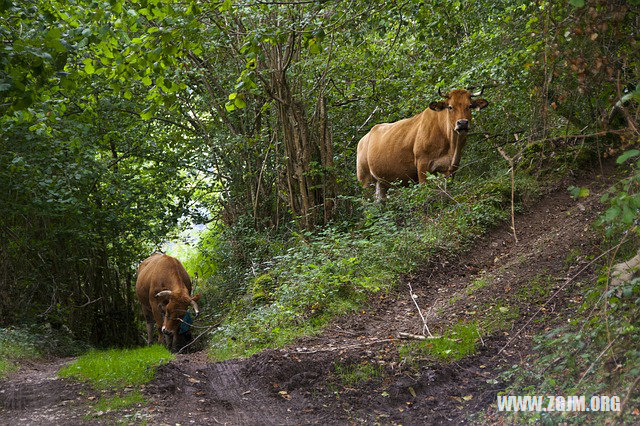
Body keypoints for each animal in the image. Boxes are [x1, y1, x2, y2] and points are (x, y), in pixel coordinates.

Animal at [358, 87, 488, 201]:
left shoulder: (451, 168)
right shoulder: (422, 164)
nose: (462, 123)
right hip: (365, 181)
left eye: (470, 106)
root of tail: (364, 138)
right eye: (450, 107)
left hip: (381, 183)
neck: (451, 145)